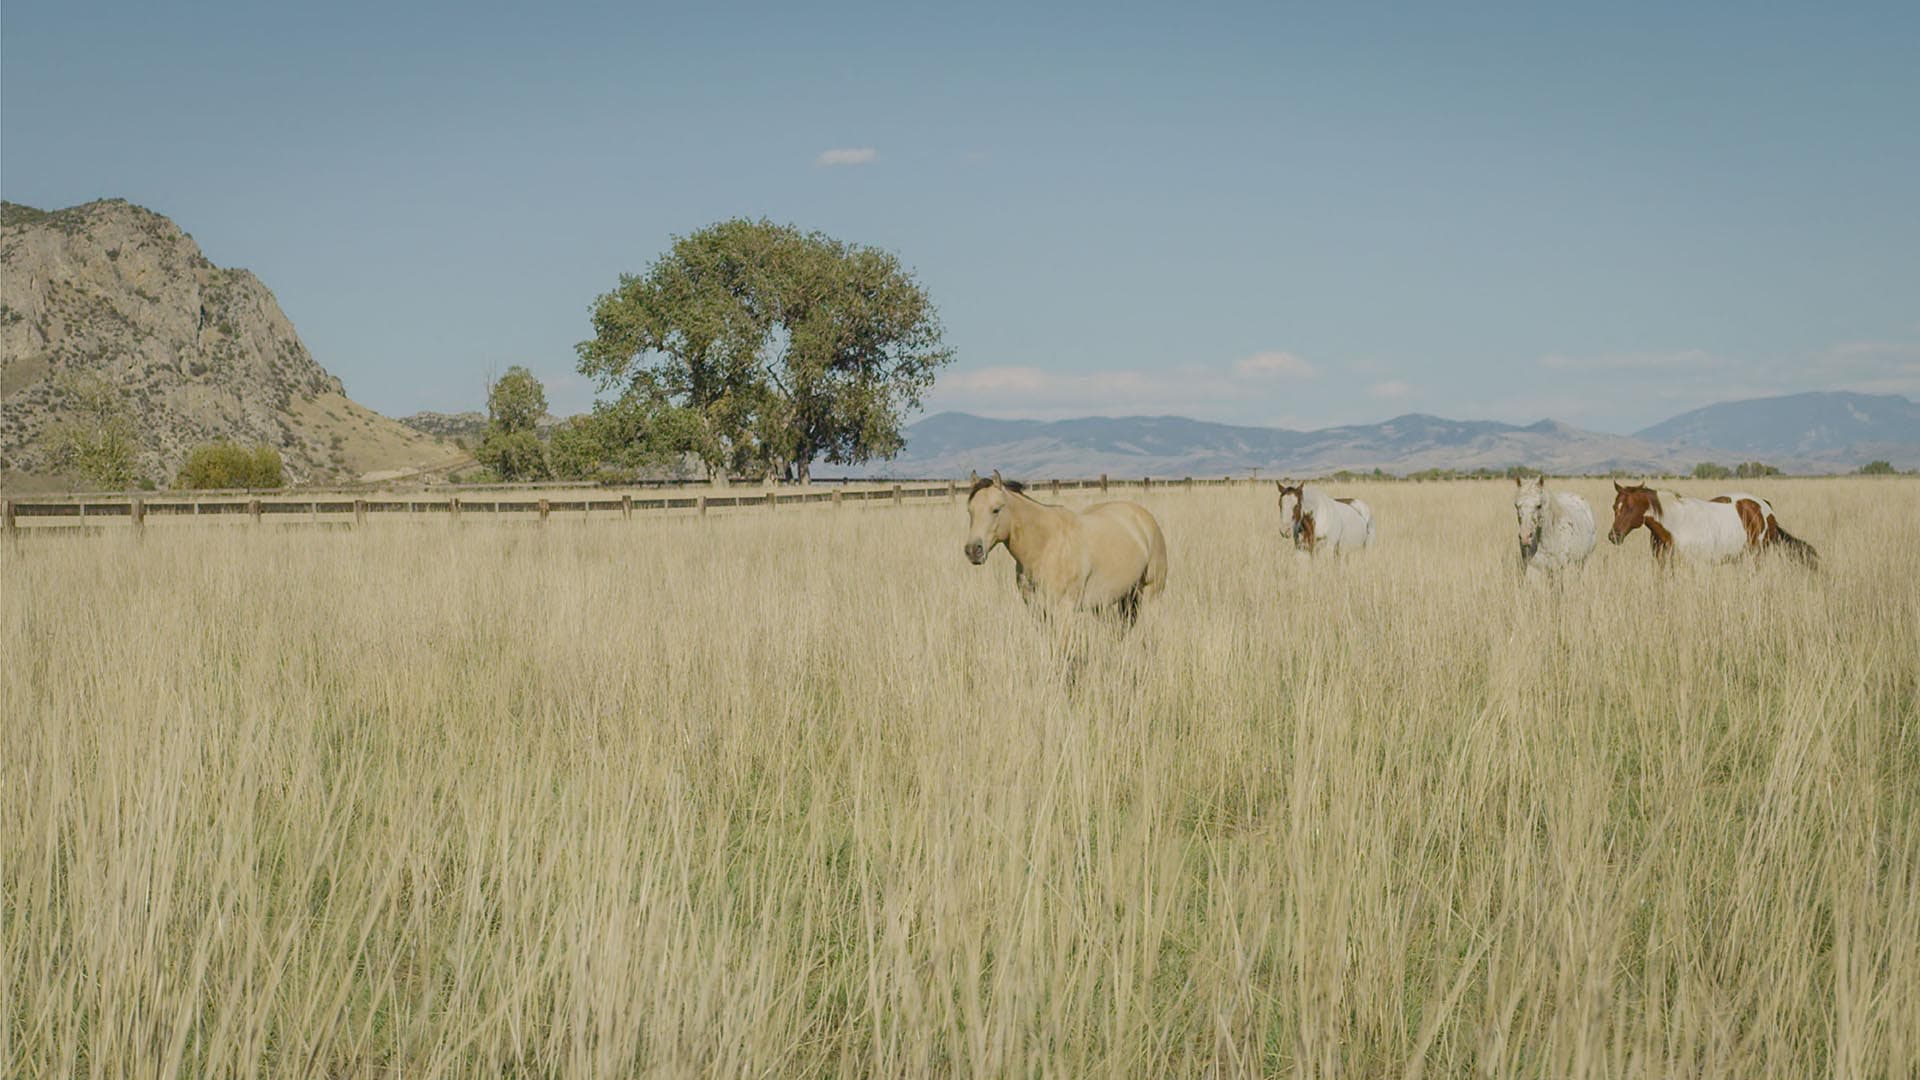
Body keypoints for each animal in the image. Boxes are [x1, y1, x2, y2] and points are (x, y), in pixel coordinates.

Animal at [962, 470, 1168, 624]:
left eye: (996, 509)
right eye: (970, 511)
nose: (973, 550)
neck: (1044, 545)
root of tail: (1144, 518)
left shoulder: (1064, 610)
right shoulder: (1038, 611)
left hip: (1151, 593)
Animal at [1607, 481, 1818, 566]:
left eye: (1630, 508)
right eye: (1614, 507)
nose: (1613, 536)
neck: (1675, 524)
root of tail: (1765, 506)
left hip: (1757, 556)